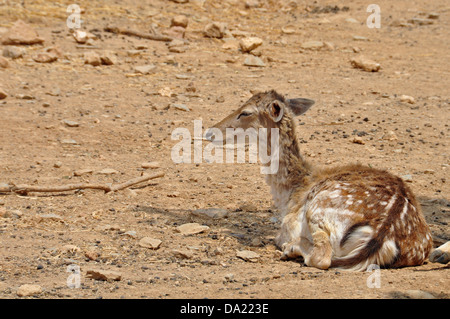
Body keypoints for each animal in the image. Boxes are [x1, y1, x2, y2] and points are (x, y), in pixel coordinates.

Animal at [209, 90, 448, 272]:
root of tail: (386, 232)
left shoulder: (287, 225)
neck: (289, 193)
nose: (210, 131)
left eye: (245, 112)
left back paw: (292, 249)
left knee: (322, 257)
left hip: (319, 210)